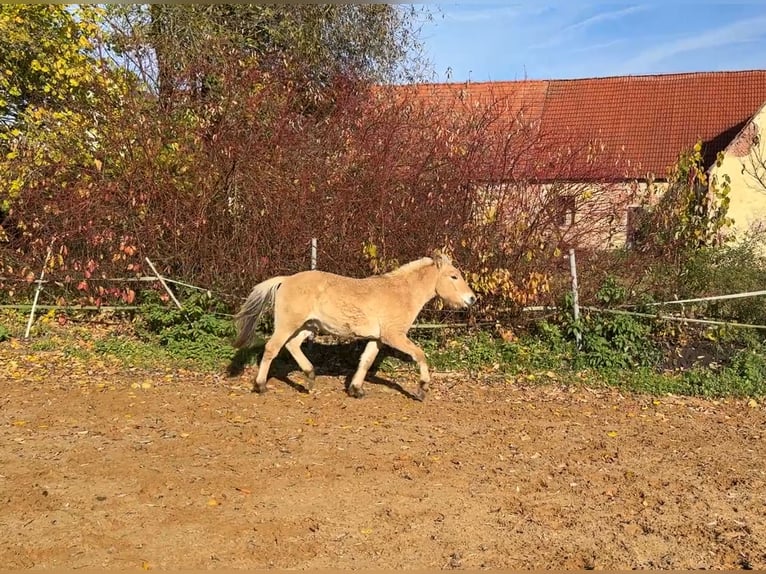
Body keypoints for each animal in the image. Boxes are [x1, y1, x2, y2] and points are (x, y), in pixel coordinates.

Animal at [233, 250, 476, 400]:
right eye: (454, 276)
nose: (472, 299)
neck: (402, 293)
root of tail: (285, 280)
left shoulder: (377, 339)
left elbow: (366, 362)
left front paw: (356, 390)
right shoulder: (393, 336)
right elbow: (420, 355)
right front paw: (422, 389)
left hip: (309, 326)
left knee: (292, 345)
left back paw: (310, 378)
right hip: (288, 324)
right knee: (271, 349)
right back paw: (261, 386)